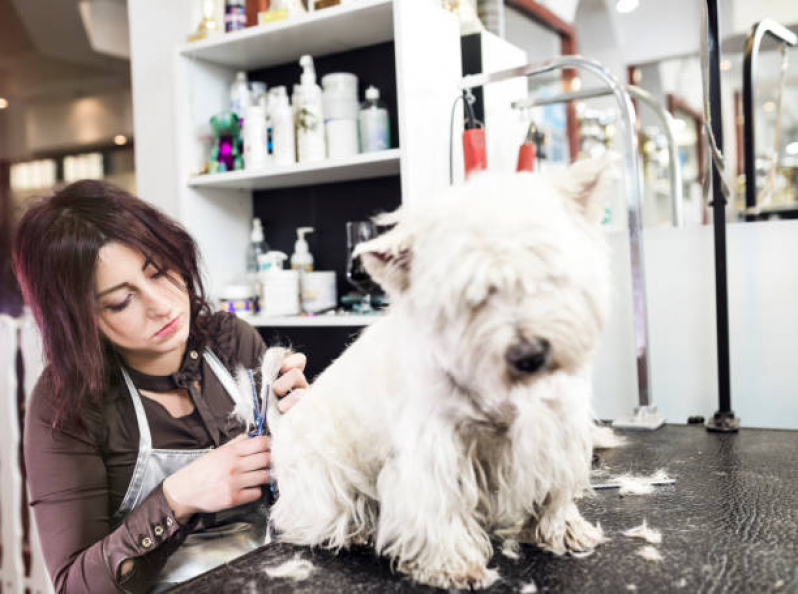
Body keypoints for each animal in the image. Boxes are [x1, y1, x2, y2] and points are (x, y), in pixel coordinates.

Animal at [260, 158, 616, 588]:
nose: (529, 355)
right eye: (469, 295)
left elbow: (555, 490)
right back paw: (354, 530)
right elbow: (440, 504)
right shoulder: (434, 447)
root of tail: (285, 422)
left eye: (544, 269)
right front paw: (454, 564)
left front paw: (565, 530)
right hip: (321, 479)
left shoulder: (554, 428)